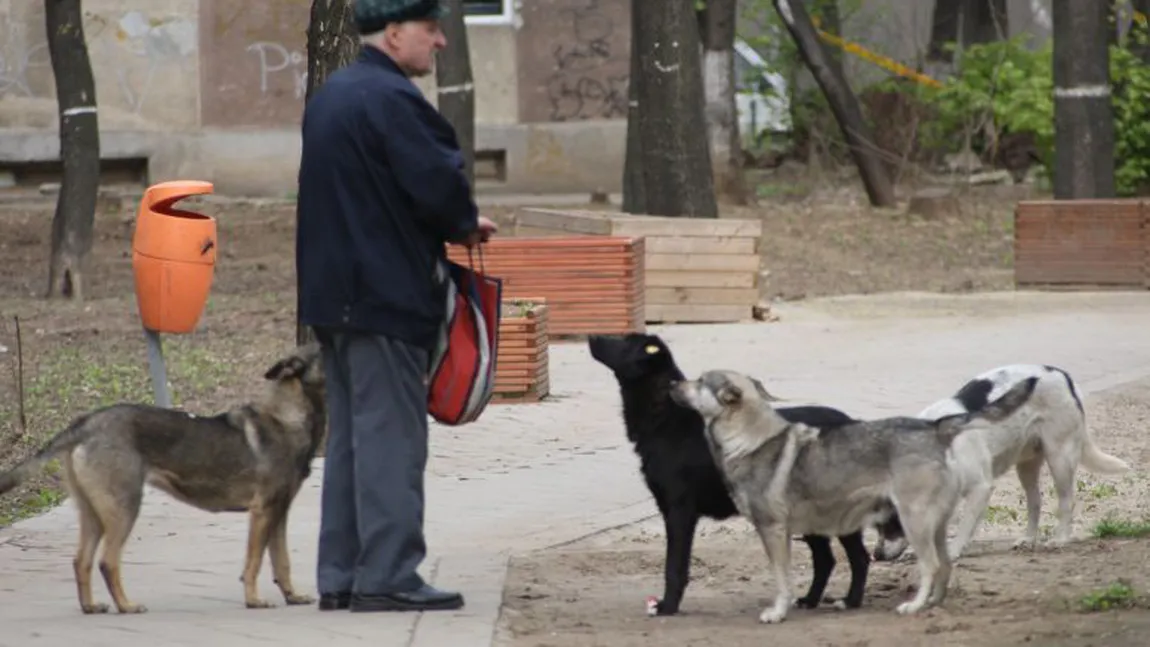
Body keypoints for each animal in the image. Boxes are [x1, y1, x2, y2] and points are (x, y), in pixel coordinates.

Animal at [0, 342, 328, 615]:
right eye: (325, 345)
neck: (287, 417)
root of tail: (86, 424)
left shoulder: (278, 513)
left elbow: (281, 561)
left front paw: (292, 596)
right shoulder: (263, 512)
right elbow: (255, 561)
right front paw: (254, 600)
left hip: (92, 513)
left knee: (81, 561)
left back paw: (91, 606)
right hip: (124, 508)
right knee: (108, 561)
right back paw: (127, 606)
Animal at [588, 333, 892, 615]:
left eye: (625, 340)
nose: (591, 336)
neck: (669, 419)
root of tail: (856, 423)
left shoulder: (679, 511)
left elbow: (674, 566)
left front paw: (668, 606)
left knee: (858, 557)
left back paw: (851, 600)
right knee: (826, 559)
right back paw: (809, 600)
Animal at [671, 372, 1039, 625]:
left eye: (700, 380)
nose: (674, 383)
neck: (750, 439)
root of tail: (935, 427)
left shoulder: (773, 531)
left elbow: (782, 579)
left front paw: (778, 612)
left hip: (914, 523)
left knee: (931, 565)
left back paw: (914, 606)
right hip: (933, 525)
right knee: (946, 564)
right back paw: (934, 603)